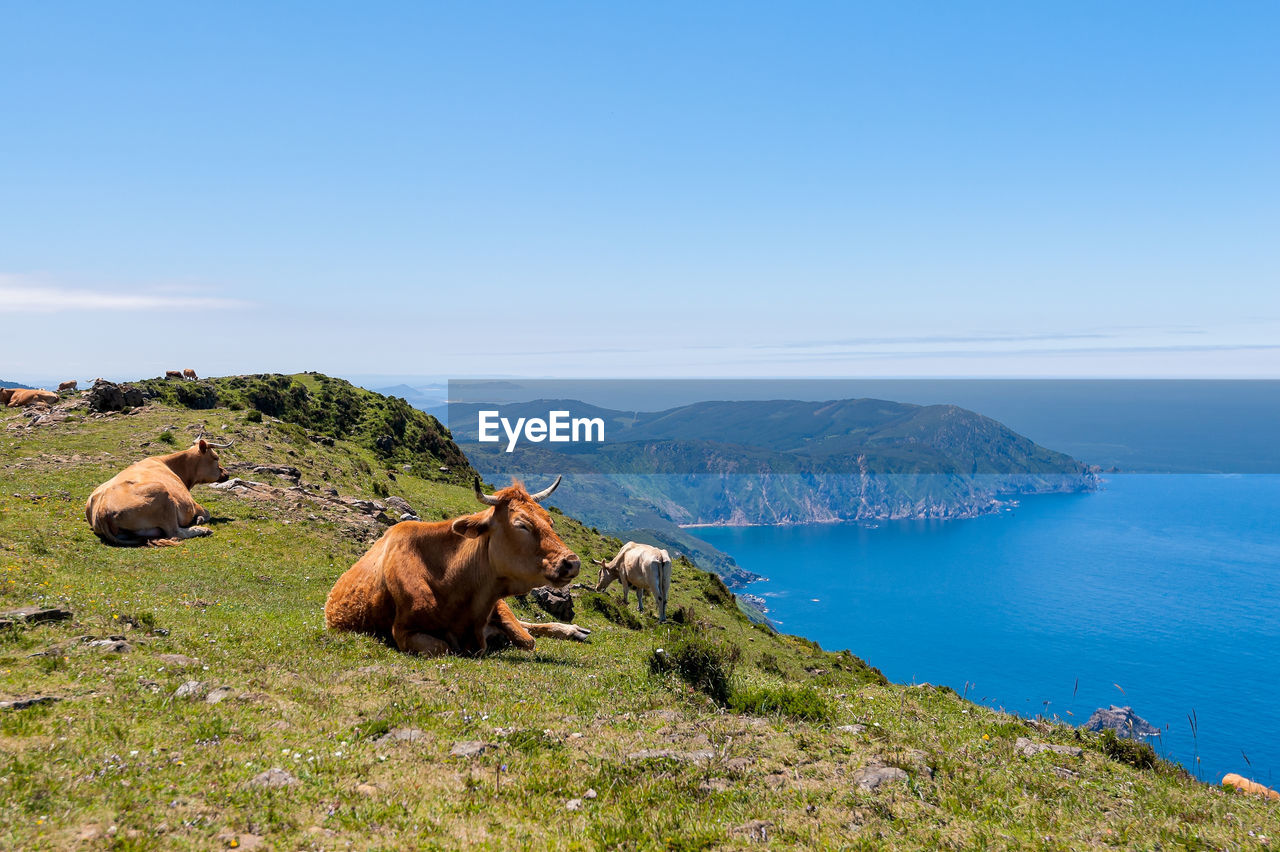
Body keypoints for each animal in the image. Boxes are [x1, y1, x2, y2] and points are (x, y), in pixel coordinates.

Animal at [85, 437, 232, 544]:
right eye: (216, 458)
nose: (227, 473)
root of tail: (102, 510)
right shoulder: (193, 504)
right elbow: (207, 513)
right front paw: (200, 519)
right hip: (163, 497)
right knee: (175, 532)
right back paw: (203, 529)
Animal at [327, 473, 591, 652]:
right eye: (521, 525)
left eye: (550, 521)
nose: (572, 562)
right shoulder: (403, 631)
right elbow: (444, 647)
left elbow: (526, 638)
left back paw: (574, 631)